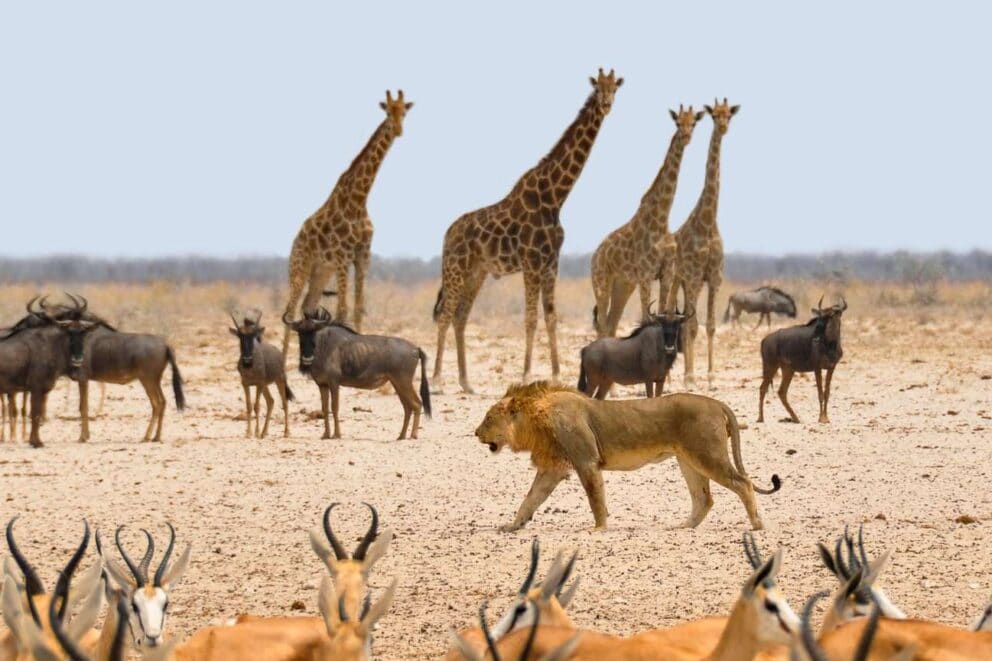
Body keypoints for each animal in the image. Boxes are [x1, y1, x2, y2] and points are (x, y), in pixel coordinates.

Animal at [474, 382, 781, 531]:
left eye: (488, 418)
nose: (475, 433)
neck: (535, 419)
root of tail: (717, 403)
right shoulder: (552, 468)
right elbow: (530, 499)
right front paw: (513, 525)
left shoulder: (586, 461)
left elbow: (595, 498)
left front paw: (599, 528)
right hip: (689, 460)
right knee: (704, 498)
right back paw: (684, 526)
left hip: (707, 454)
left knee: (743, 483)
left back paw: (756, 524)